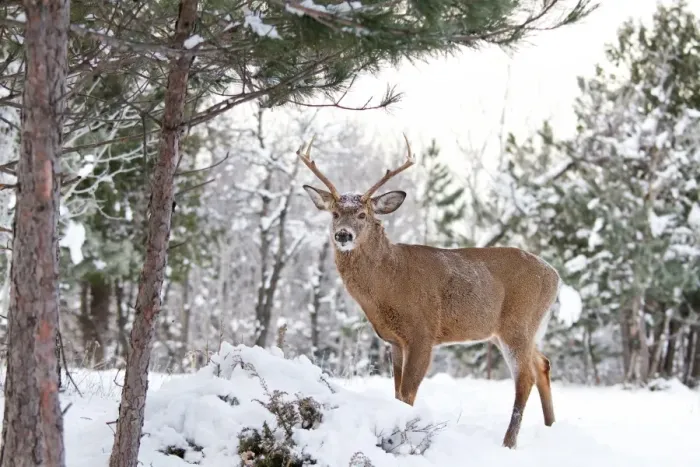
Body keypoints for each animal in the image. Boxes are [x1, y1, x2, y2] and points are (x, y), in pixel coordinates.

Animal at [297, 135, 561, 449]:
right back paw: (551, 427)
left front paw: (400, 437)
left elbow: (408, 395)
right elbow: (397, 393)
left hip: (518, 322)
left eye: (362, 214)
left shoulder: (423, 331)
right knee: (543, 363)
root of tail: (555, 275)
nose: (343, 235)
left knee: (525, 377)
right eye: (335, 213)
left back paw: (508, 443)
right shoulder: (394, 341)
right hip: (518, 329)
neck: (390, 282)